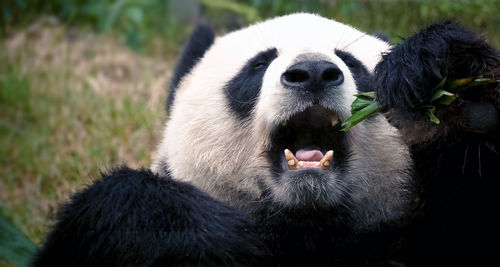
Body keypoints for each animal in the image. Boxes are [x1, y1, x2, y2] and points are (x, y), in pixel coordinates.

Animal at [33, 13, 498, 267]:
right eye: (258, 65)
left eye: (350, 63)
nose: (313, 73)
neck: (304, 225)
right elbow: (126, 207)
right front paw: (202, 232)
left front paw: (445, 77)